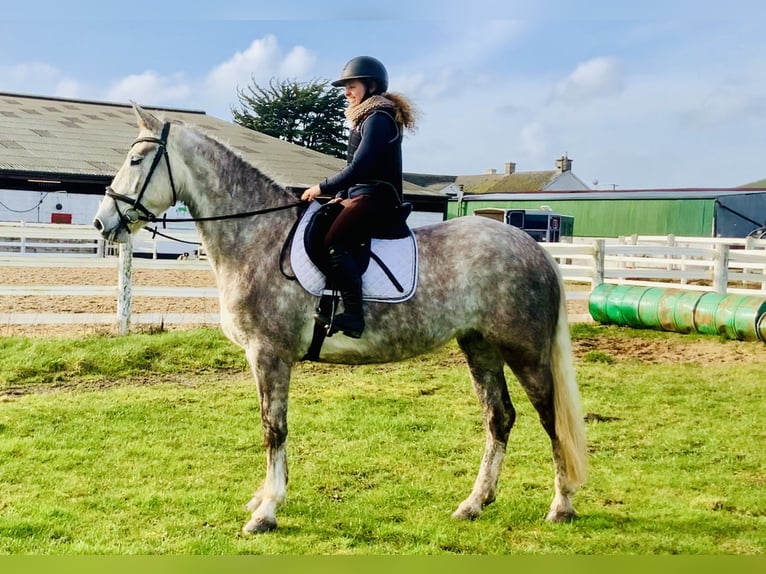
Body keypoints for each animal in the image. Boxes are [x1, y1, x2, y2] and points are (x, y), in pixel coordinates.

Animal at [91, 103, 588, 536]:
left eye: (136, 159)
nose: (101, 223)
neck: (257, 238)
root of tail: (534, 248)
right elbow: (272, 427)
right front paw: (265, 498)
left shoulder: (269, 355)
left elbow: (273, 428)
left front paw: (267, 512)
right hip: (479, 345)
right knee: (499, 417)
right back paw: (474, 503)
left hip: (525, 352)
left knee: (551, 419)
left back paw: (561, 505)